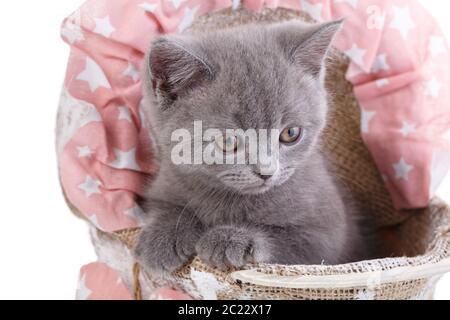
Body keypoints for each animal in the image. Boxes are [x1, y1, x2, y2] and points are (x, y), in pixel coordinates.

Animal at [135, 20, 370, 276]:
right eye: (228, 141)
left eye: (291, 133)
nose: (266, 172)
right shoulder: (165, 183)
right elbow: (168, 206)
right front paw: (162, 237)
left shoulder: (328, 234)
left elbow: (291, 243)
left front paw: (232, 239)